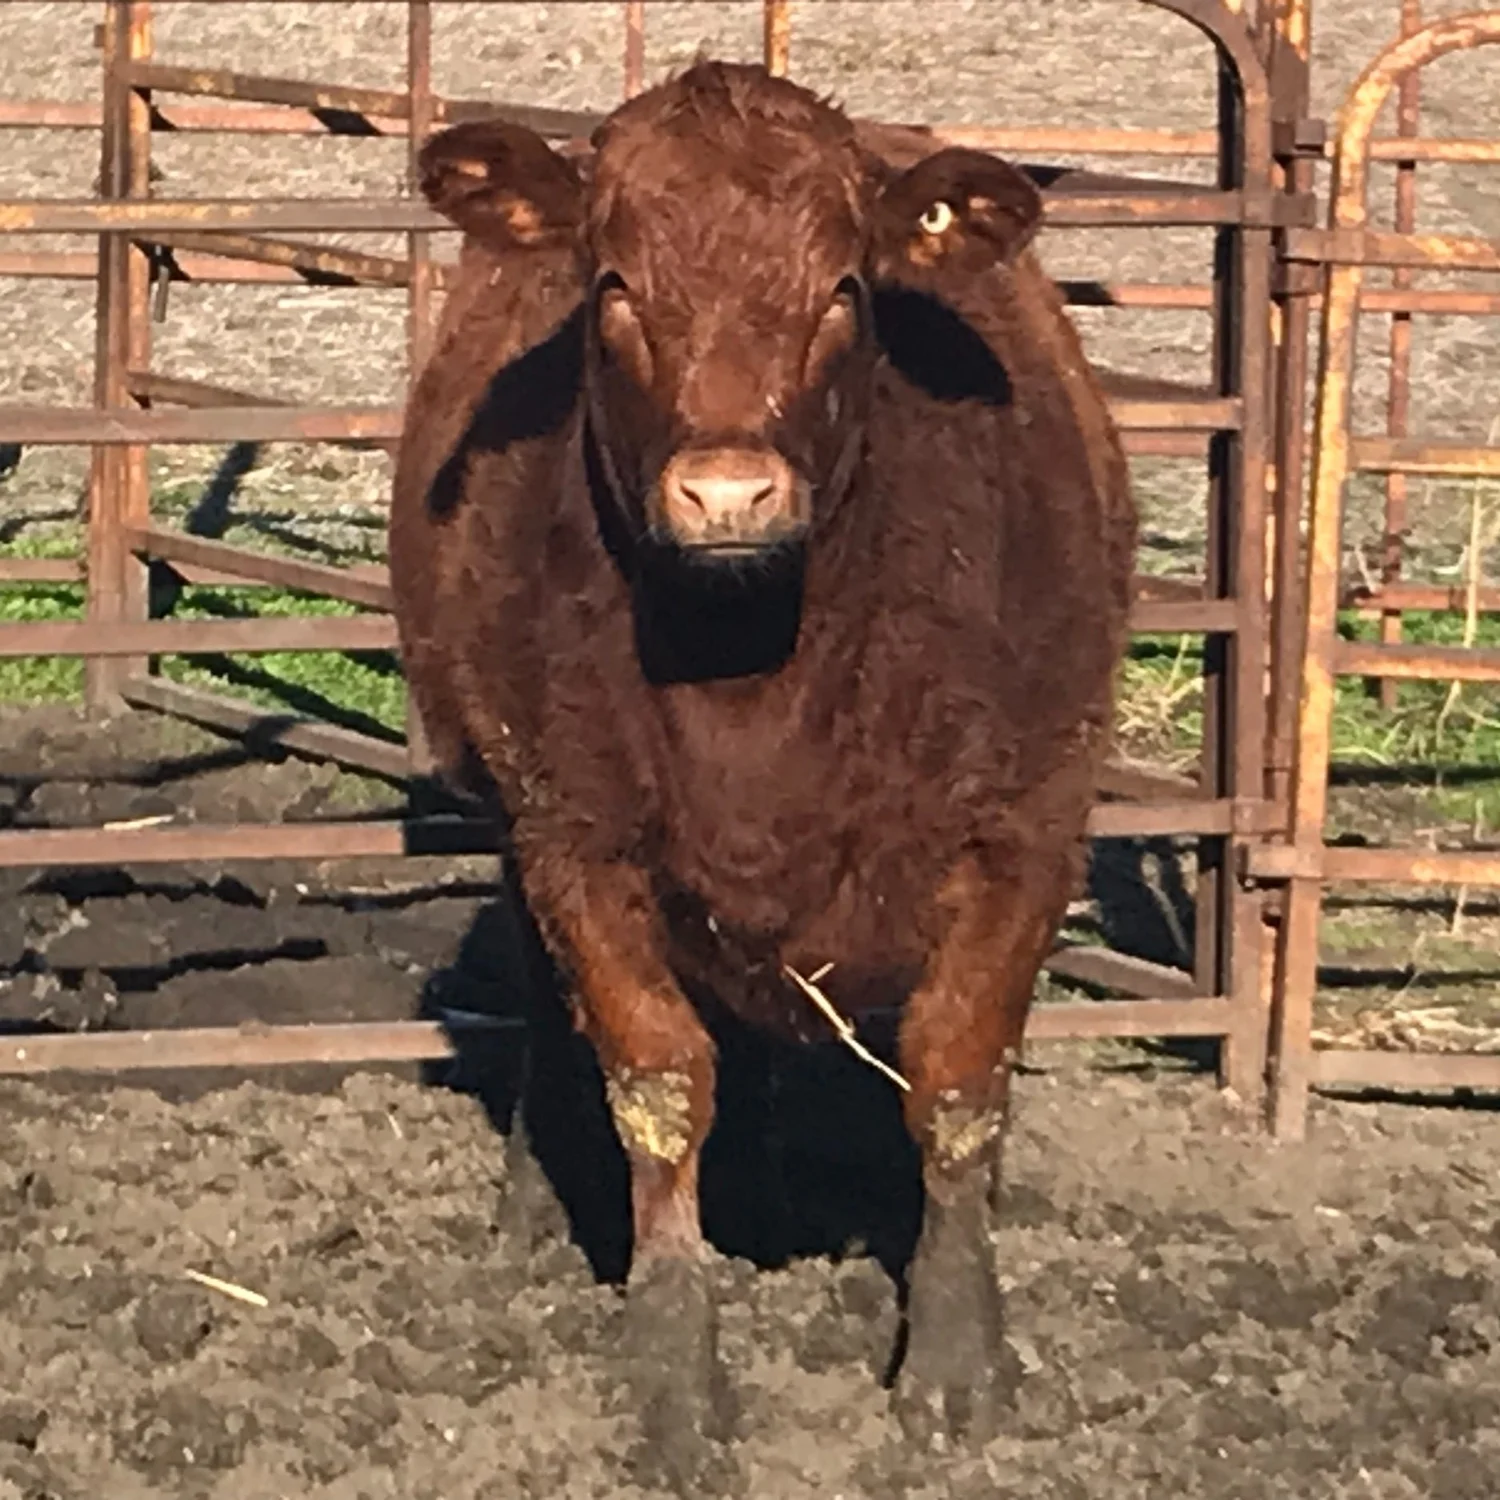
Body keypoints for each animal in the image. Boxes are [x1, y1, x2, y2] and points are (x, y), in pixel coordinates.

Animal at [390, 60, 1136, 1478]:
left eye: (843, 288)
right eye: (615, 286)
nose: (728, 493)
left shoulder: (1030, 821)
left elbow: (960, 1083)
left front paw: (958, 1357)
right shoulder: (573, 834)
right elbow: (657, 1090)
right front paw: (676, 1379)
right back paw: (533, 1212)